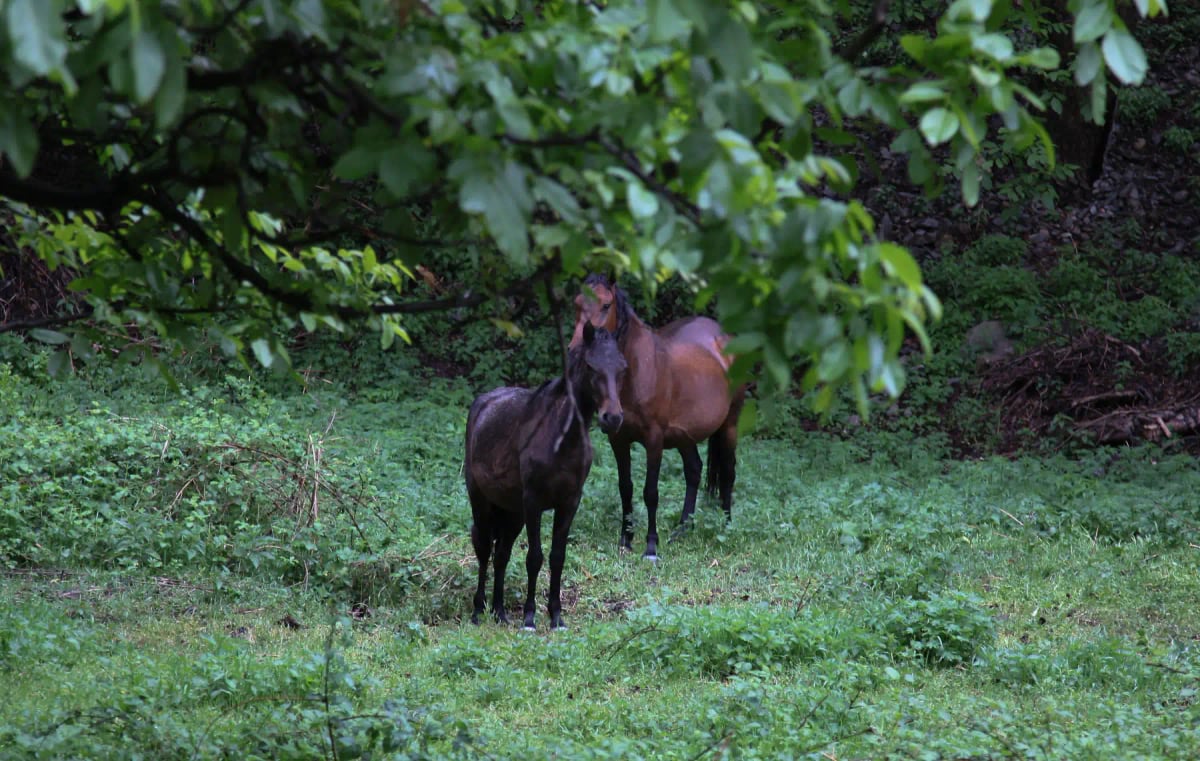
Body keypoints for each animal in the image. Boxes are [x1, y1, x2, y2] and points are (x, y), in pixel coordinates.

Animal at [465, 322, 626, 630]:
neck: (561, 439)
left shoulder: (569, 503)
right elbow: (534, 557)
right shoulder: (534, 503)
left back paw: (500, 611)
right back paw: (478, 610)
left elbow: (557, 557)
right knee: (484, 548)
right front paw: (529, 617)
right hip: (481, 502)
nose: (612, 418)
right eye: (591, 366)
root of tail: (482, 402)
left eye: (623, 366)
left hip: (512, 512)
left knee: (501, 554)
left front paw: (556, 616)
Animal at [570, 274, 745, 560]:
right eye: (576, 303)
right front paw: (626, 540)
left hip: (730, 424)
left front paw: (651, 547)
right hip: (685, 436)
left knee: (728, 473)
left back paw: (727, 526)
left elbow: (650, 492)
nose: (576, 348)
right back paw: (683, 529)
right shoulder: (618, 439)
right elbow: (626, 487)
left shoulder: (654, 440)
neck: (638, 371)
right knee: (694, 470)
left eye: (606, 304)